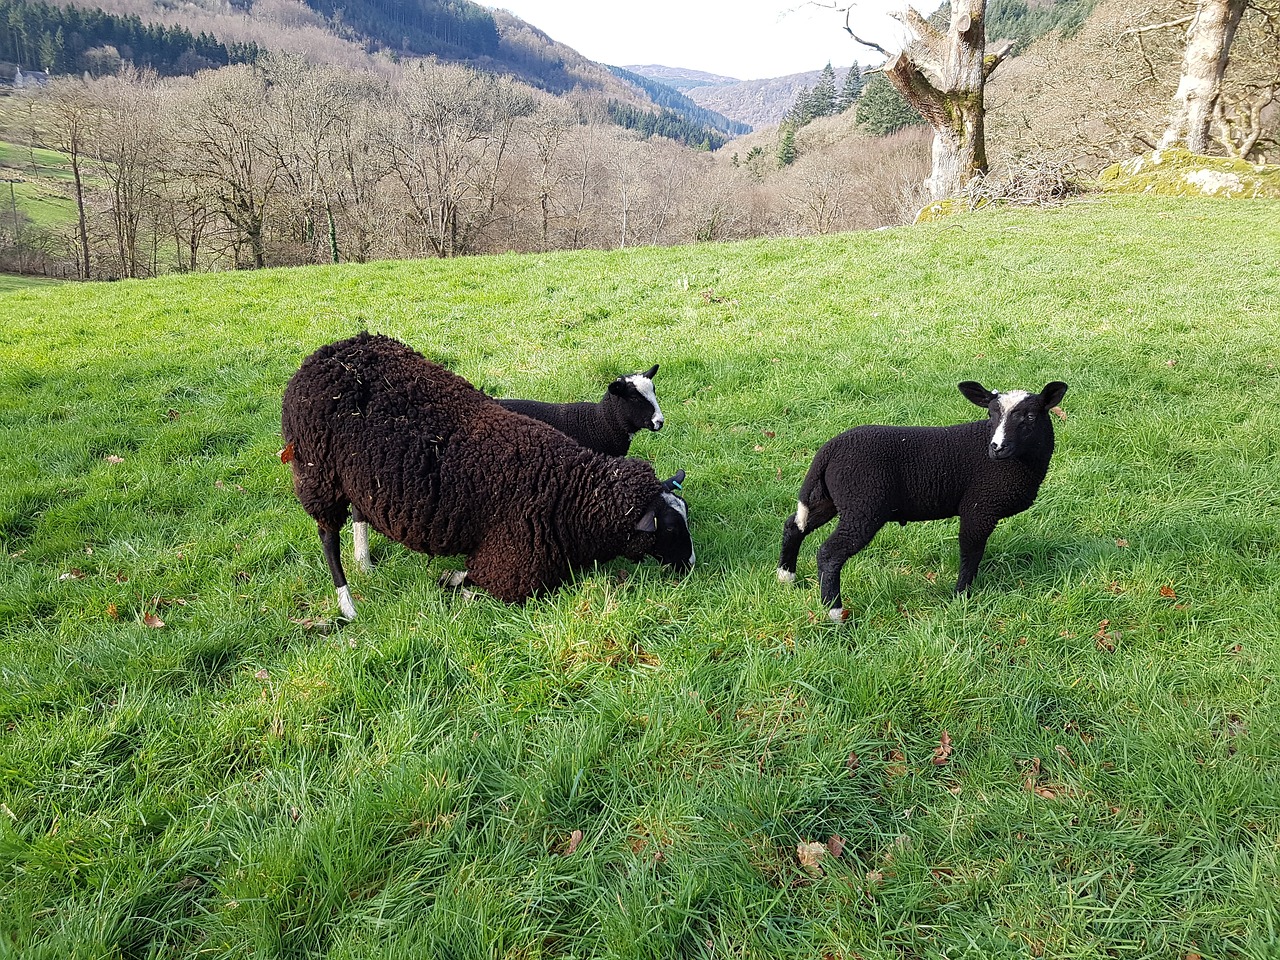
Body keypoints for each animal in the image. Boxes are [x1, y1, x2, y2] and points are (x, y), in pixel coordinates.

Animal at [285, 335, 696, 619]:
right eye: (670, 528)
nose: (691, 566)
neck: (570, 490)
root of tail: (326, 352)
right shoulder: (510, 570)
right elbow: (473, 584)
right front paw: (449, 583)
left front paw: (448, 581)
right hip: (317, 473)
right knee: (327, 538)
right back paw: (347, 604)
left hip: (358, 475)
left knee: (359, 513)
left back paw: (365, 562)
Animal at [778, 381, 1070, 624]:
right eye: (991, 415)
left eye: (1030, 416)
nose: (997, 447)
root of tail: (829, 449)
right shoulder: (979, 507)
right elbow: (971, 552)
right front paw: (961, 597)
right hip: (863, 506)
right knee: (829, 553)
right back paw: (834, 611)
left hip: (832, 499)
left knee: (794, 525)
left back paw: (786, 576)